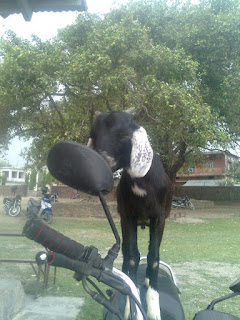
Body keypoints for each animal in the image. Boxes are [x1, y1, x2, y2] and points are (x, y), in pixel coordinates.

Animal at [87, 111, 172, 318]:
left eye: (123, 136)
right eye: (93, 134)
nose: (97, 162)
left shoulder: (159, 218)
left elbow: (154, 258)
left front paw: (153, 310)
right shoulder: (127, 217)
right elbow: (132, 257)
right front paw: (129, 307)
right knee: (127, 253)